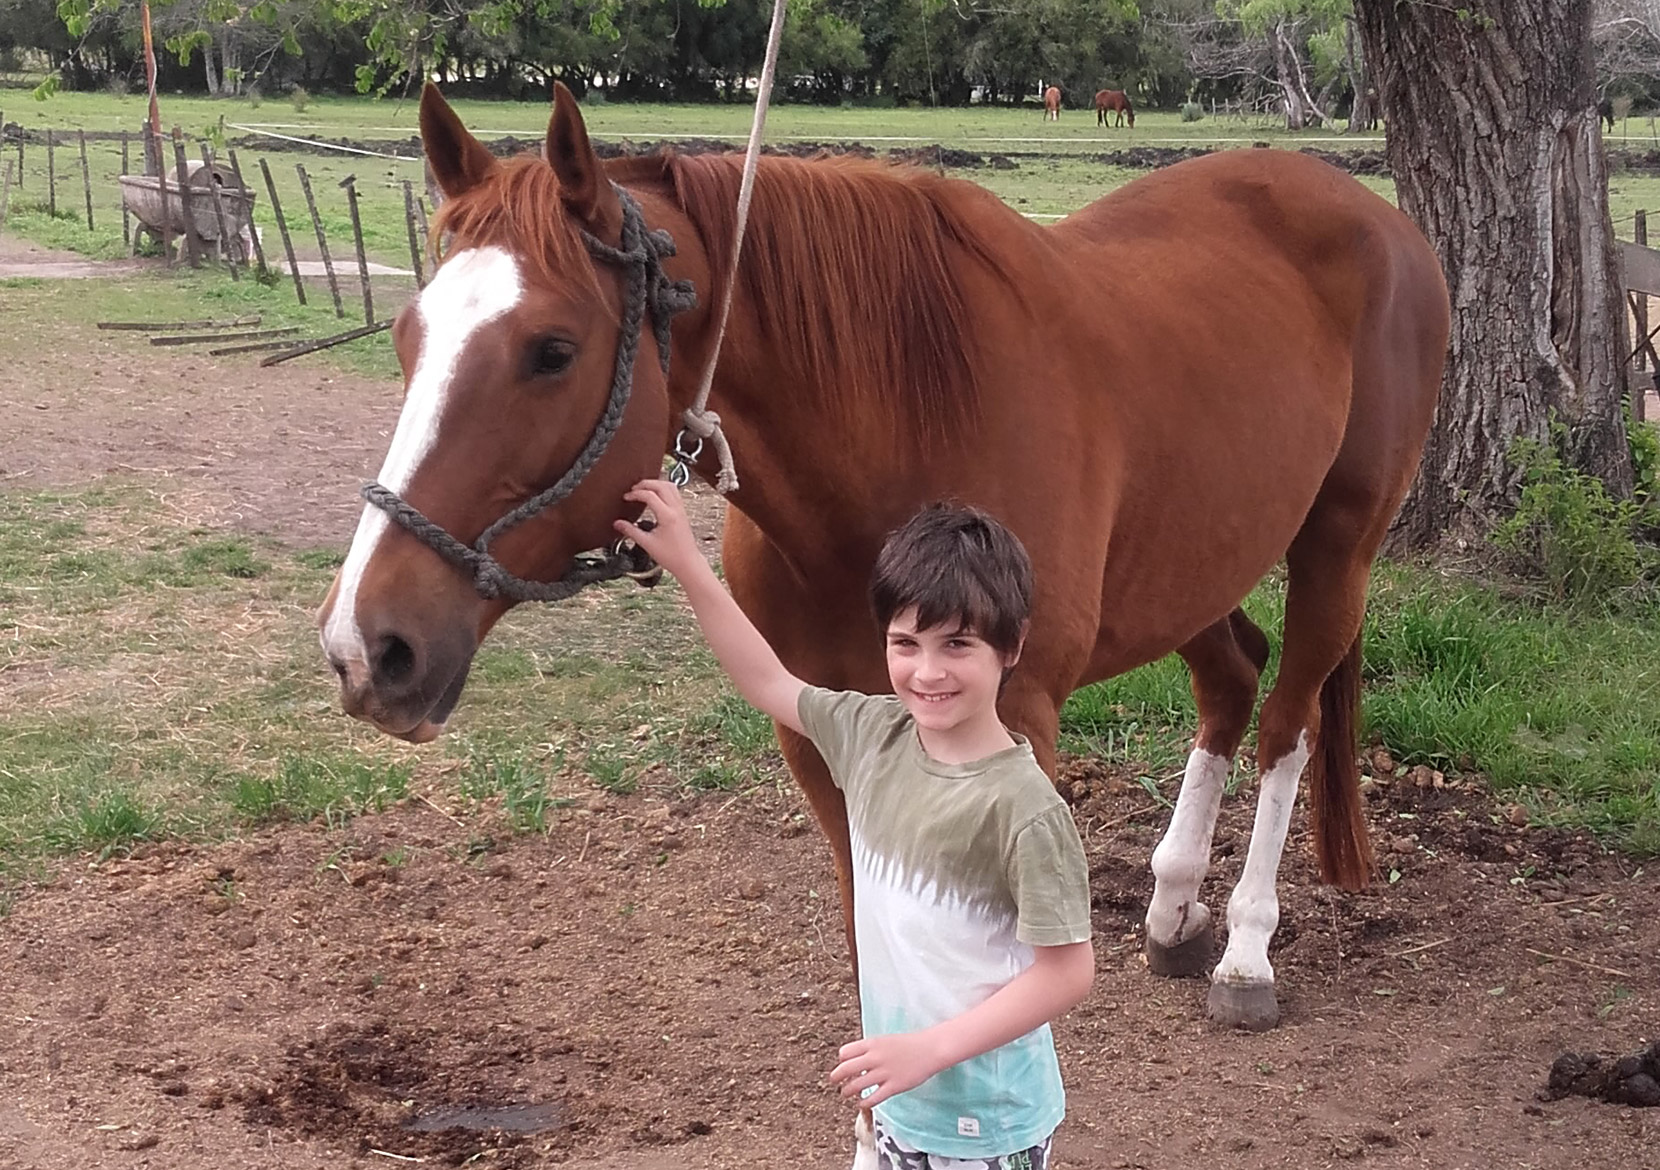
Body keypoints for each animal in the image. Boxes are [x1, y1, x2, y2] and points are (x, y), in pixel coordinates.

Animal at [317, 84, 1447, 1042]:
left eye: (551, 350)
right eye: (408, 334)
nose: (367, 646)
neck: (900, 427)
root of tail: (1375, 216)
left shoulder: (1017, 726)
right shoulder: (819, 737)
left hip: (1337, 549)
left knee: (1287, 722)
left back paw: (1247, 950)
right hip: (1191, 564)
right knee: (1232, 680)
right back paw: (1173, 910)